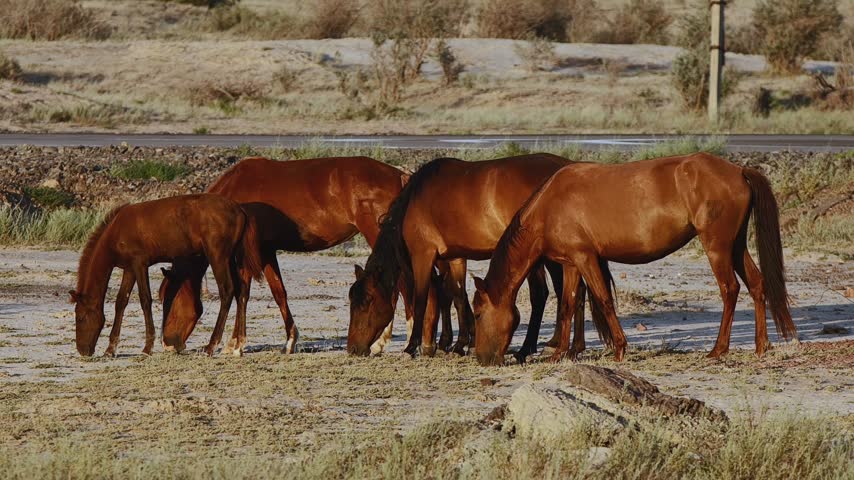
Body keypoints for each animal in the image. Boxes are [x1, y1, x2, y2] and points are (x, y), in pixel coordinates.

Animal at [70, 194, 262, 357]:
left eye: (80, 317)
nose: (82, 350)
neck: (117, 229)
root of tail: (239, 210)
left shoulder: (139, 264)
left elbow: (145, 300)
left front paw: (147, 348)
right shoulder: (130, 269)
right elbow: (121, 302)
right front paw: (110, 349)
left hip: (218, 257)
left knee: (227, 291)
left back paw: (211, 346)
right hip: (231, 258)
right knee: (241, 291)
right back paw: (238, 345)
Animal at [158, 156, 444, 355]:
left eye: (167, 299)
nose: (168, 344)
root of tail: (400, 177)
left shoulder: (246, 254)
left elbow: (242, 293)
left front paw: (235, 344)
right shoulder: (266, 250)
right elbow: (279, 292)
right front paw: (290, 340)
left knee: (404, 286)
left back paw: (402, 339)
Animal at [348, 154, 610, 360]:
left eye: (366, 301)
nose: (352, 348)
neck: (415, 200)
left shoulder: (423, 255)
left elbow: (421, 300)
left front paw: (413, 347)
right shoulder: (454, 257)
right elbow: (457, 296)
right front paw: (459, 344)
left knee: (544, 294)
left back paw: (531, 348)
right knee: (574, 292)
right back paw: (571, 347)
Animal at [472, 153, 798, 366]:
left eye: (477, 314)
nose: (483, 359)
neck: (550, 205)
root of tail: (738, 170)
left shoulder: (586, 258)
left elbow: (604, 300)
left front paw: (619, 348)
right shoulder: (570, 263)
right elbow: (567, 305)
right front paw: (560, 353)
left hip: (717, 246)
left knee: (730, 289)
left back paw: (719, 349)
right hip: (736, 245)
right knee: (756, 284)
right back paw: (760, 345)